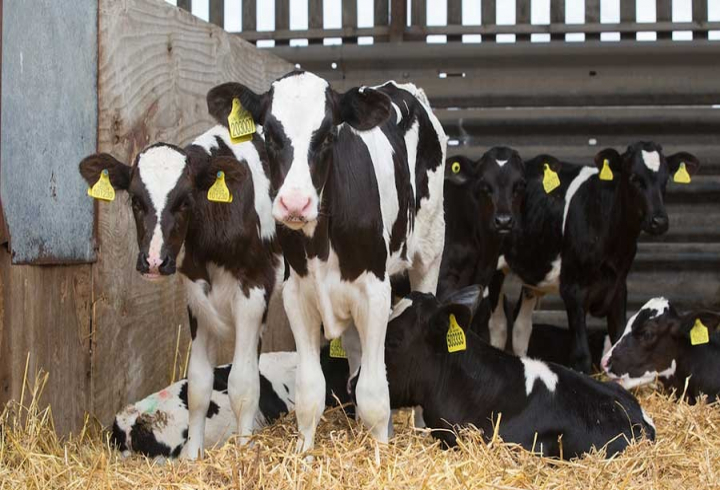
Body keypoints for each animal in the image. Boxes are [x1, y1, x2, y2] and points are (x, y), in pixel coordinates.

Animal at [79, 125, 283, 459]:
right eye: (135, 200)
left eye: (185, 201)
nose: (153, 261)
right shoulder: (197, 296)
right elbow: (198, 384)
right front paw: (192, 457)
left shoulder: (255, 289)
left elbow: (243, 383)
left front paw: (244, 452)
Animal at [206, 72, 447, 452]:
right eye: (269, 134)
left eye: (329, 135)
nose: (295, 203)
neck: (320, 242)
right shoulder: (298, 295)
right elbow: (310, 392)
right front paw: (304, 454)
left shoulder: (374, 292)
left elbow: (374, 394)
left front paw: (380, 454)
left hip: (430, 248)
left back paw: (420, 430)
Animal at [491, 144, 700, 372]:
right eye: (634, 178)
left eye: (666, 179)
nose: (659, 221)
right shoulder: (573, 290)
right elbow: (581, 356)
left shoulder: (618, 286)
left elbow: (618, 337)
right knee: (498, 326)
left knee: (521, 327)